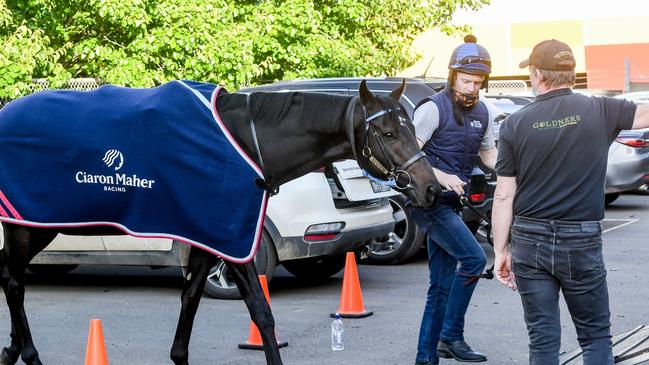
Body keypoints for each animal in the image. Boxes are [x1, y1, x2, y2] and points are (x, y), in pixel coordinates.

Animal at [0, 78, 440, 362]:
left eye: (410, 128)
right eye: (388, 133)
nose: (431, 189)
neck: (245, 140)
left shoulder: (207, 236)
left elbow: (191, 297)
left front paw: (178, 355)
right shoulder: (233, 241)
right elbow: (261, 313)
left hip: (35, 228)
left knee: (13, 277)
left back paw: (14, 348)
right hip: (25, 225)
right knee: (13, 281)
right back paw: (29, 353)